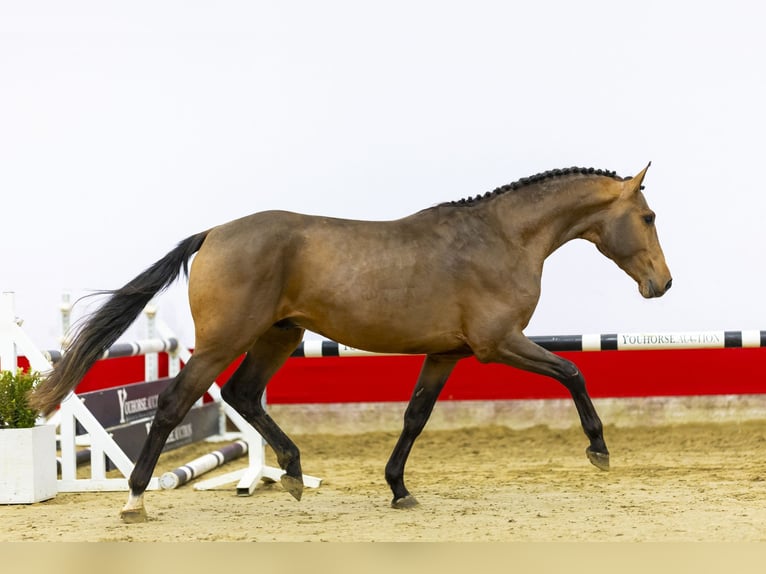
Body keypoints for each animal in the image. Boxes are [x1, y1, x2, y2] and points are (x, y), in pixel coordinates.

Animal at [30, 162, 672, 520]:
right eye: (648, 218)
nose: (661, 284)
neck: (500, 238)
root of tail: (213, 233)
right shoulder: (499, 343)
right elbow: (573, 372)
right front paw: (599, 450)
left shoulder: (446, 353)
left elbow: (415, 416)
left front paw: (399, 490)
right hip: (224, 341)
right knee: (174, 401)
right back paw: (136, 499)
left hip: (278, 336)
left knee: (243, 395)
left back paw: (291, 474)